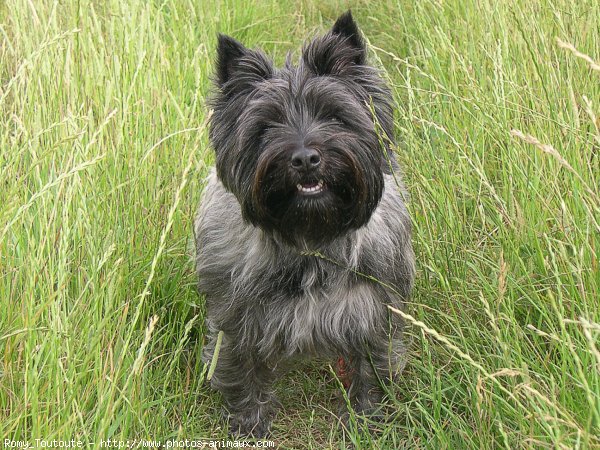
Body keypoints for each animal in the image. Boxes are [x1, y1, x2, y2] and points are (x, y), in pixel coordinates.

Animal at [195, 12, 414, 438]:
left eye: (334, 115)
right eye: (266, 126)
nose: (305, 158)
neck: (310, 239)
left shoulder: (372, 312)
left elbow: (370, 369)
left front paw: (366, 420)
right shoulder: (235, 316)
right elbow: (240, 368)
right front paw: (250, 425)